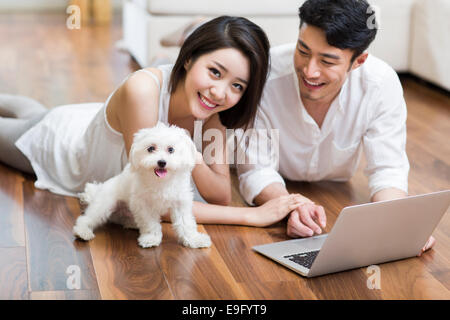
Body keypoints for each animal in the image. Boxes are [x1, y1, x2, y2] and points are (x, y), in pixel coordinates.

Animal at [73, 122, 212, 248]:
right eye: (150, 148)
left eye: (171, 149)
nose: (162, 162)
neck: (161, 181)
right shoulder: (144, 204)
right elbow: (150, 223)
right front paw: (151, 238)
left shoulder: (180, 202)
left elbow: (185, 222)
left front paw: (194, 239)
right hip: (104, 204)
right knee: (88, 218)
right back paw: (82, 231)